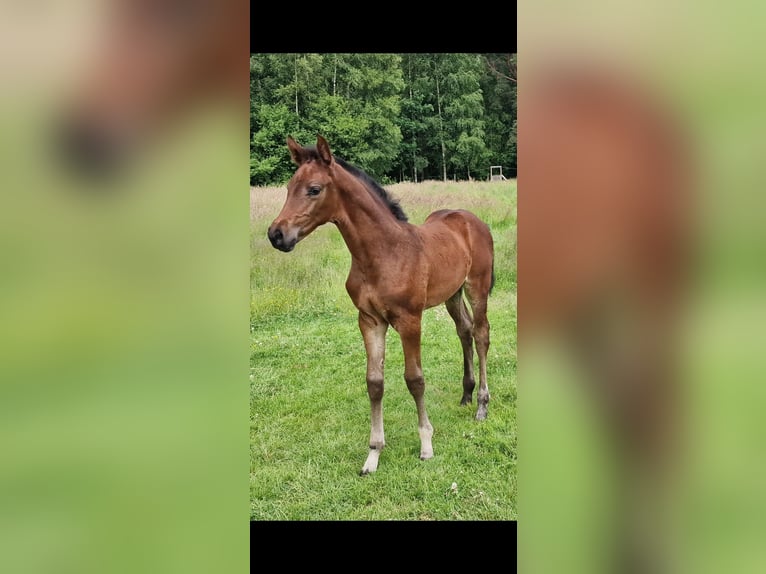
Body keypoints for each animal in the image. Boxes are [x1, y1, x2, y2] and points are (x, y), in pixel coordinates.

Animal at [267, 135, 496, 475]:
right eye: (288, 187)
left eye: (314, 189)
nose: (277, 234)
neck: (383, 253)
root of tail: (470, 219)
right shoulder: (369, 320)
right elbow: (374, 382)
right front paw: (373, 454)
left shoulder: (410, 320)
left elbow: (415, 379)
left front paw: (426, 444)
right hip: (452, 294)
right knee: (464, 331)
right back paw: (466, 394)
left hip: (476, 287)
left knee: (481, 335)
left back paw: (481, 404)